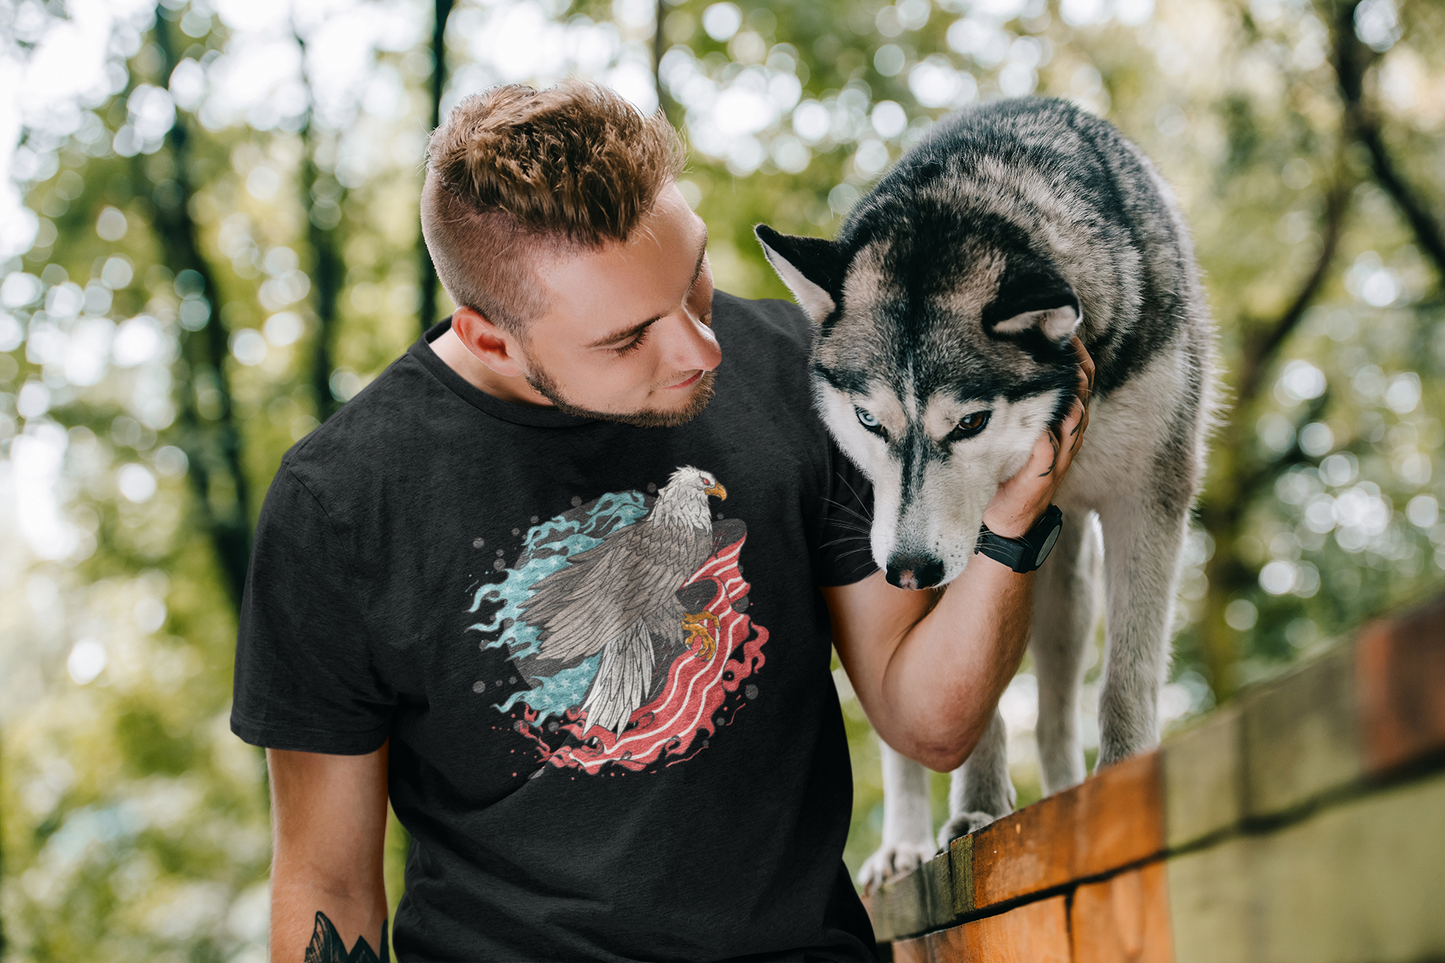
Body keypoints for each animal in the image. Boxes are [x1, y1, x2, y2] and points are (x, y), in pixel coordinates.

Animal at [762, 101, 1213, 890]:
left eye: (969, 423)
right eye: (870, 420)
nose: (909, 570)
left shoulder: (1150, 494)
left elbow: (1126, 676)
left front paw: (1124, 775)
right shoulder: (936, 546)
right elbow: (967, 706)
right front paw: (976, 810)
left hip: (1060, 588)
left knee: (1059, 704)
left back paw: (1069, 791)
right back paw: (904, 846)